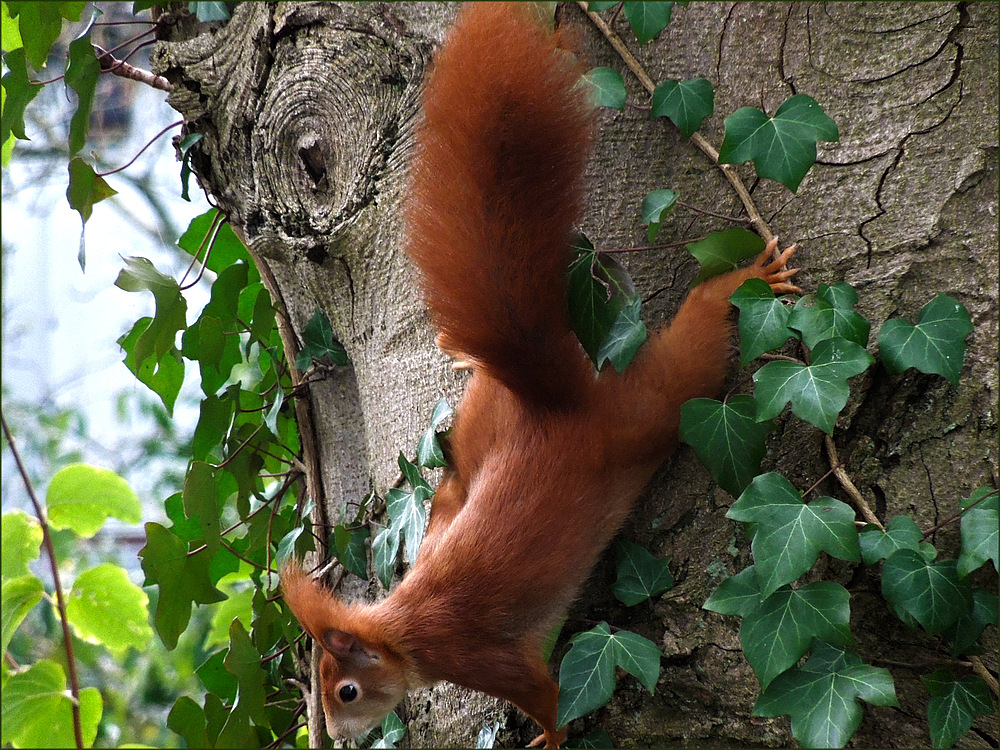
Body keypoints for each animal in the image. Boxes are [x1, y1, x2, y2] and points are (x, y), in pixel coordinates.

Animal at [282, 2, 796, 748]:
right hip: (485, 422)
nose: (343, 735)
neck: (402, 629)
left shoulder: (475, 653)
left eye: (346, 690)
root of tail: (552, 402)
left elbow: (546, 695)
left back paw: (741, 282)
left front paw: (549, 737)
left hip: (649, 415)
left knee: (694, 349)